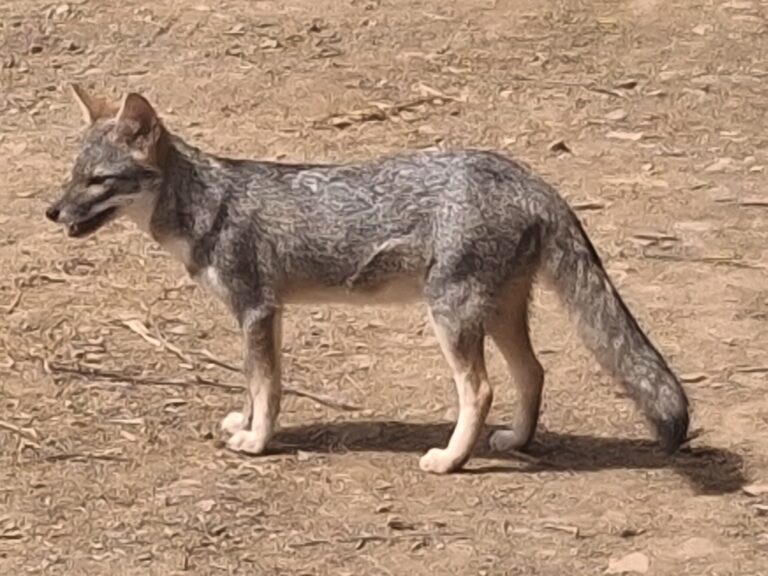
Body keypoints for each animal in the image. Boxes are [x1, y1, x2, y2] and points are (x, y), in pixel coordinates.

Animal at [45, 84, 690, 474]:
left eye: (99, 181)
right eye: (73, 175)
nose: (51, 212)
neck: (211, 203)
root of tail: (530, 177)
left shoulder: (257, 310)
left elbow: (266, 385)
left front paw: (257, 441)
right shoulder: (264, 316)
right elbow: (255, 384)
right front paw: (244, 424)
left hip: (451, 317)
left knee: (480, 390)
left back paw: (451, 460)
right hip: (500, 313)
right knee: (532, 372)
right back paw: (517, 441)